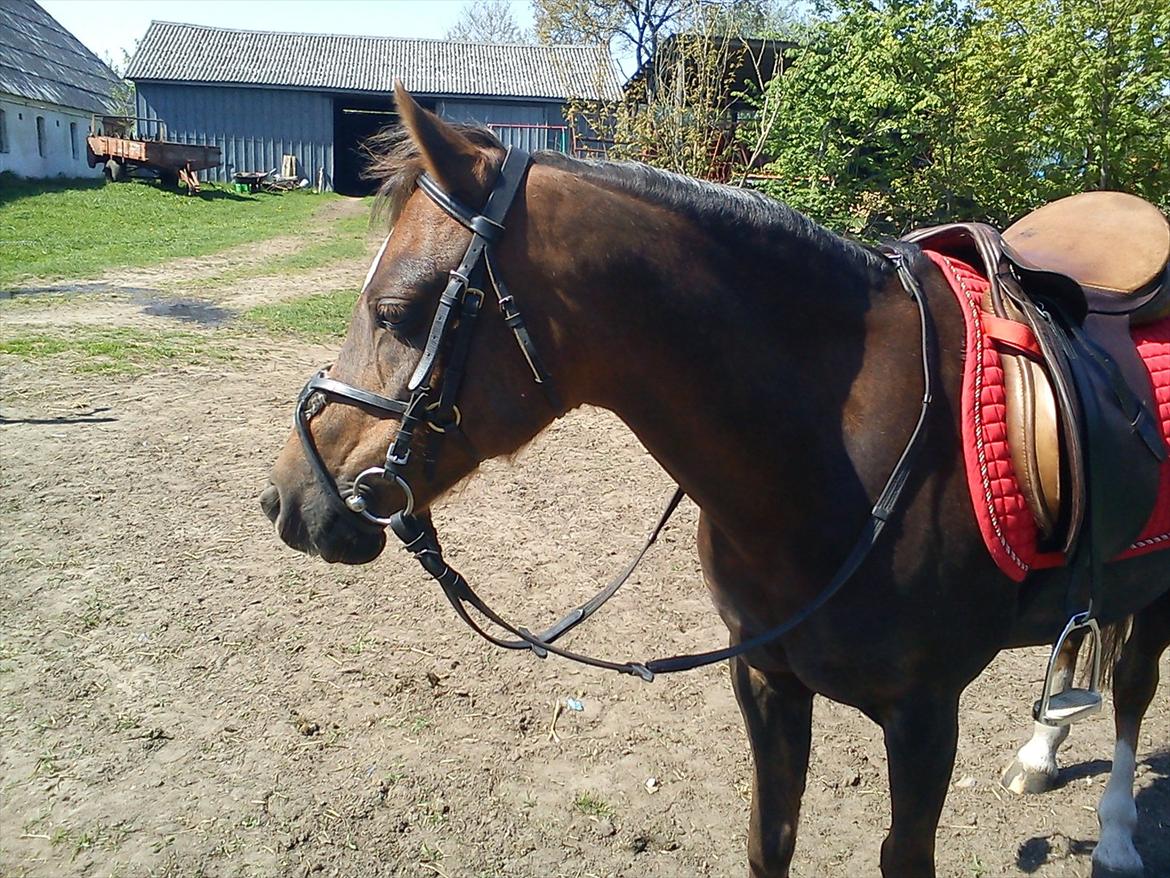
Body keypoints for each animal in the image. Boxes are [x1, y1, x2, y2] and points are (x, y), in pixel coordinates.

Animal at [261, 85, 1170, 877]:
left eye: (397, 312)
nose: (287, 500)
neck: (836, 454)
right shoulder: (765, 679)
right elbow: (771, 840)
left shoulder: (924, 715)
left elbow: (904, 855)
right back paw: (1040, 753)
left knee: (1131, 688)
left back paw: (1117, 837)